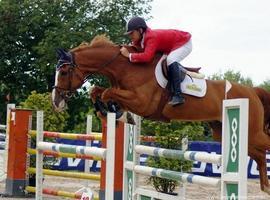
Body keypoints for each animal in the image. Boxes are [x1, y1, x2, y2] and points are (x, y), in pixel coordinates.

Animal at [51, 34, 270, 194]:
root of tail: (252, 91)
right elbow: (96, 90)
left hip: (251, 132)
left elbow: (106, 92)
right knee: (259, 155)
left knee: (263, 147)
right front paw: (110, 112)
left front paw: (116, 113)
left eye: (64, 72)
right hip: (226, 132)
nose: (56, 101)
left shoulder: (142, 103)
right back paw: (265, 187)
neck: (126, 67)